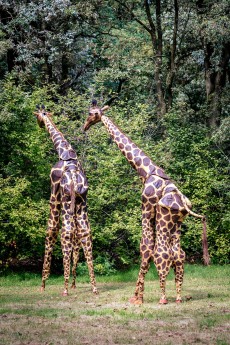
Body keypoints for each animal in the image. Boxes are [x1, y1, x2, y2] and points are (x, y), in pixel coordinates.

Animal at [34, 105, 97, 296]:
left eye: (38, 116)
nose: (40, 124)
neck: (64, 152)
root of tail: (74, 181)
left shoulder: (54, 194)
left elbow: (51, 229)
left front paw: (43, 284)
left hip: (68, 203)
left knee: (66, 233)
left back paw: (65, 288)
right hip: (81, 206)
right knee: (84, 233)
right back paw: (93, 287)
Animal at [83, 100, 209, 304]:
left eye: (91, 114)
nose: (85, 126)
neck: (147, 171)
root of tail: (184, 206)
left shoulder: (147, 207)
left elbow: (146, 249)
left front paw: (137, 298)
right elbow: (150, 250)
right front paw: (139, 295)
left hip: (164, 220)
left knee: (163, 253)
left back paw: (163, 298)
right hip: (177, 224)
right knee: (179, 255)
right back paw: (178, 297)